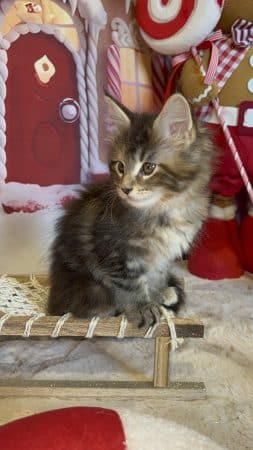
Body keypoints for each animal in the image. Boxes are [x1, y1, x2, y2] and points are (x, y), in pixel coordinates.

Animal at [47, 94, 213, 326]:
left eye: (148, 168)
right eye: (120, 166)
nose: (125, 189)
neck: (165, 207)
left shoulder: (161, 257)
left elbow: (156, 276)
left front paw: (157, 295)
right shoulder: (114, 251)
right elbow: (129, 283)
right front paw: (142, 307)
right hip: (91, 290)